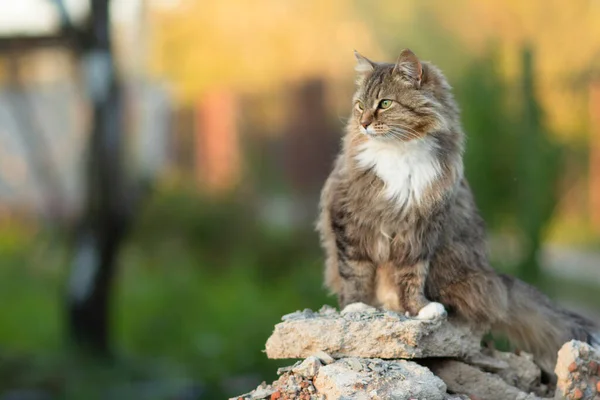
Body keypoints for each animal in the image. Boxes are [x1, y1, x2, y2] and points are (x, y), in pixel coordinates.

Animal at [316, 48, 596, 374]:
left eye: (385, 104)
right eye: (360, 105)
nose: (362, 123)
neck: (400, 152)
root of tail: (495, 278)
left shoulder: (422, 228)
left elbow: (412, 276)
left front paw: (420, 309)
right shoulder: (349, 218)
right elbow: (355, 270)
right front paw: (355, 306)